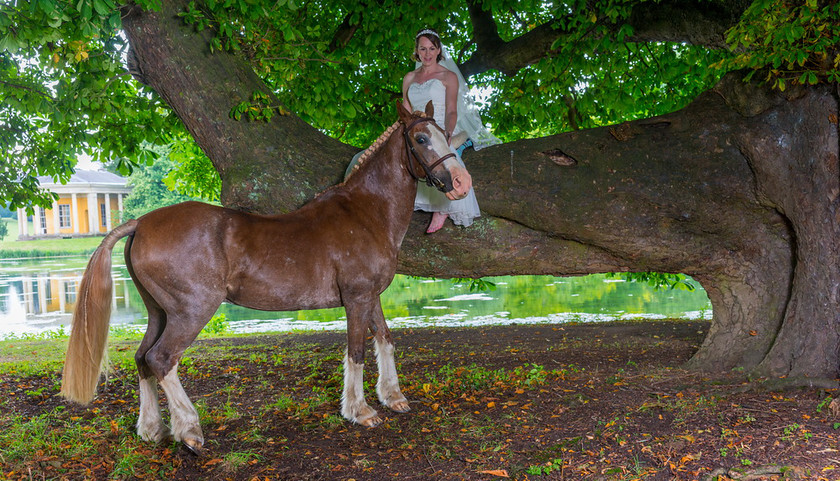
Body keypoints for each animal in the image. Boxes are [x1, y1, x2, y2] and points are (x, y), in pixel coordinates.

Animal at [60, 100, 472, 450]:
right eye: (421, 139)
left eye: (445, 134)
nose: (461, 183)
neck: (365, 212)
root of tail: (141, 223)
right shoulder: (356, 297)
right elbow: (355, 352)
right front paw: (360, 411)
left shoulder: (371, 296)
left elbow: (384, 340)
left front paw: (393, 397)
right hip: (191, 312)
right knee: (161, 359)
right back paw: (189, 430)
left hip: (159, 313)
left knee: (143, 359)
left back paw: (151, 429)